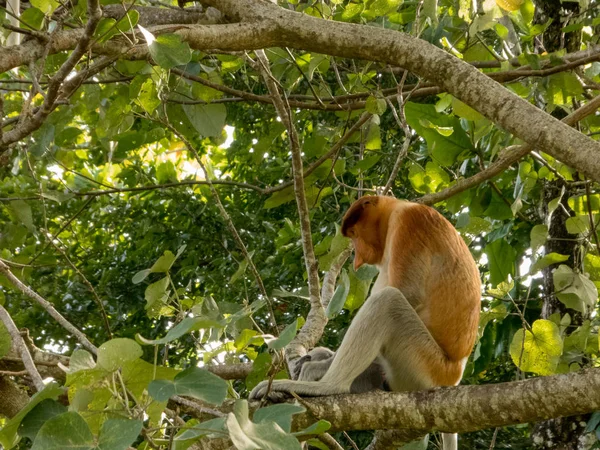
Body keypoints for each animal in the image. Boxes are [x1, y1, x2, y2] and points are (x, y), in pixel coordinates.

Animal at [251, 196, 480, 450]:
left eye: (354, 233)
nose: (357, 256)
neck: (394, 212)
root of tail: (454, 377)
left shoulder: (411, 223)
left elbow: (407, 292)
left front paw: (316, 366)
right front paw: (316, 357)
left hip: (426, 369)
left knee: (387, 302)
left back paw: (323, 386)